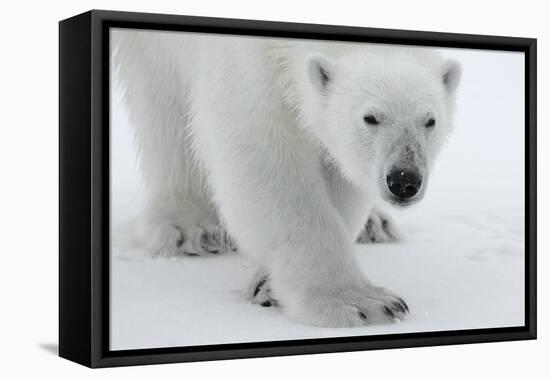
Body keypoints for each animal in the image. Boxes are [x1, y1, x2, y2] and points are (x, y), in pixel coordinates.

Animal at [112, 29, 462, 326]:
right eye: (370, 117)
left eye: (430, 120)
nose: (404, 180)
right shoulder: (241, 59)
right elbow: (262, 152)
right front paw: (360, 303)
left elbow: (336, 166)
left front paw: (268, 285)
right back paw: (191, 226)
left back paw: (375, 224)